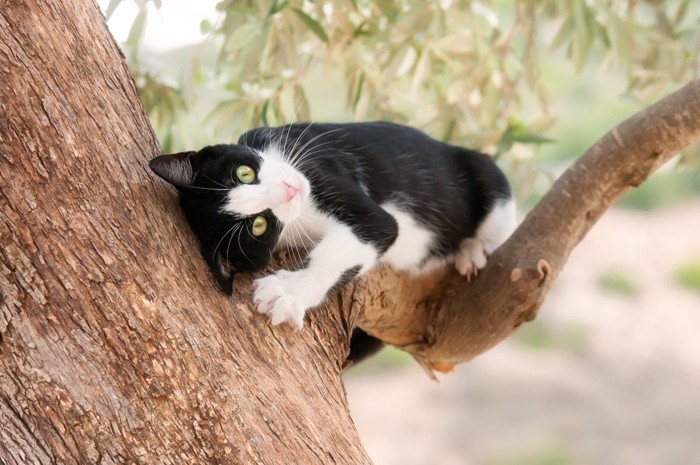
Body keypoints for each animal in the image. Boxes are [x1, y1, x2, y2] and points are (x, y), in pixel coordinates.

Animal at [150, 120, 516, 338]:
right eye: (258, 225)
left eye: (244, 172)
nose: (289, 190)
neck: (299, 216)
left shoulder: (318, 167)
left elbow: (356, 241)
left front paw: (288, 291)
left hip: (484, 174)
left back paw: (473, 250)